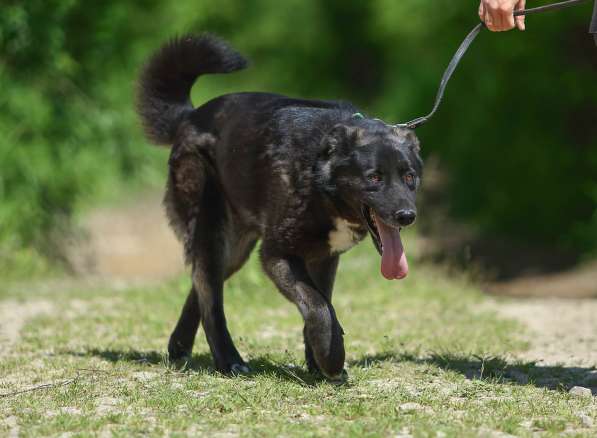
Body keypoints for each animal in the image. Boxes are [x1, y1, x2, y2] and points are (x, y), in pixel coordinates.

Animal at [137, 35, 422, 384]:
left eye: (409, 177)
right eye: (375, 178)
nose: (406, 216)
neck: (319, 171)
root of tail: (190, 117)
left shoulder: (323, 257)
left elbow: (323, 303)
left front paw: (319, 360)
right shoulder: (276, 255)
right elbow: (318, 307)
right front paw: (331, 357)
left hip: (234, 250)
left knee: (203, 285)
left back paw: (179, 347)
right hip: (212, 229)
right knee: (209, 294)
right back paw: (229, 360)